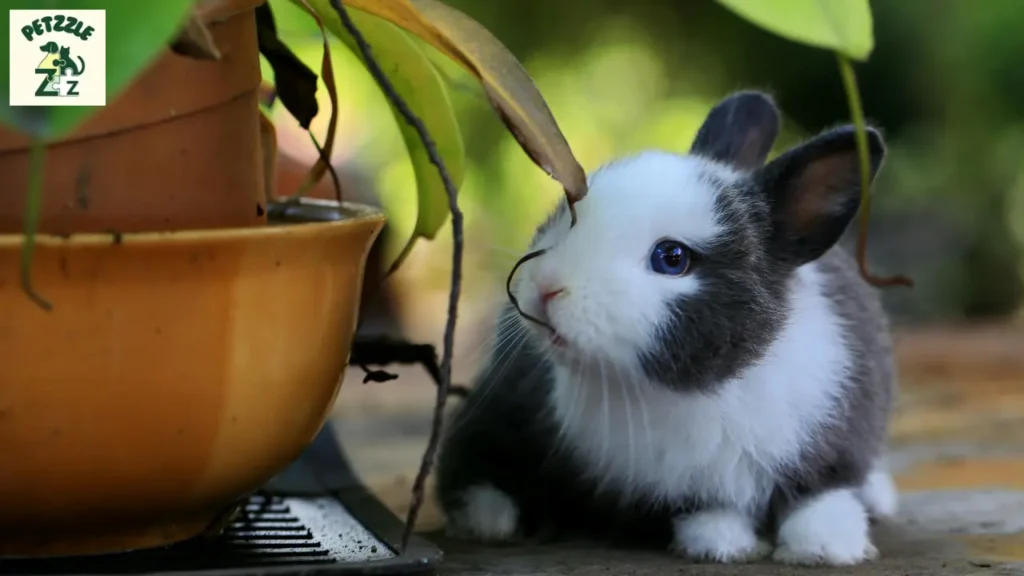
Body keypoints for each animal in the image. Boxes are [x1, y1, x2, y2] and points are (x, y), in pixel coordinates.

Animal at [435, 90, 899, 567]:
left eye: (672, 258)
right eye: (567, 212)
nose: (546, 286)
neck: (705, 390)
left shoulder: (836, 443)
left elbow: (821, 497)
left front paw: (826, 549)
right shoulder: (684, 489)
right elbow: (708, 510)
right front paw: (723, 546)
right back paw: (491, 520)